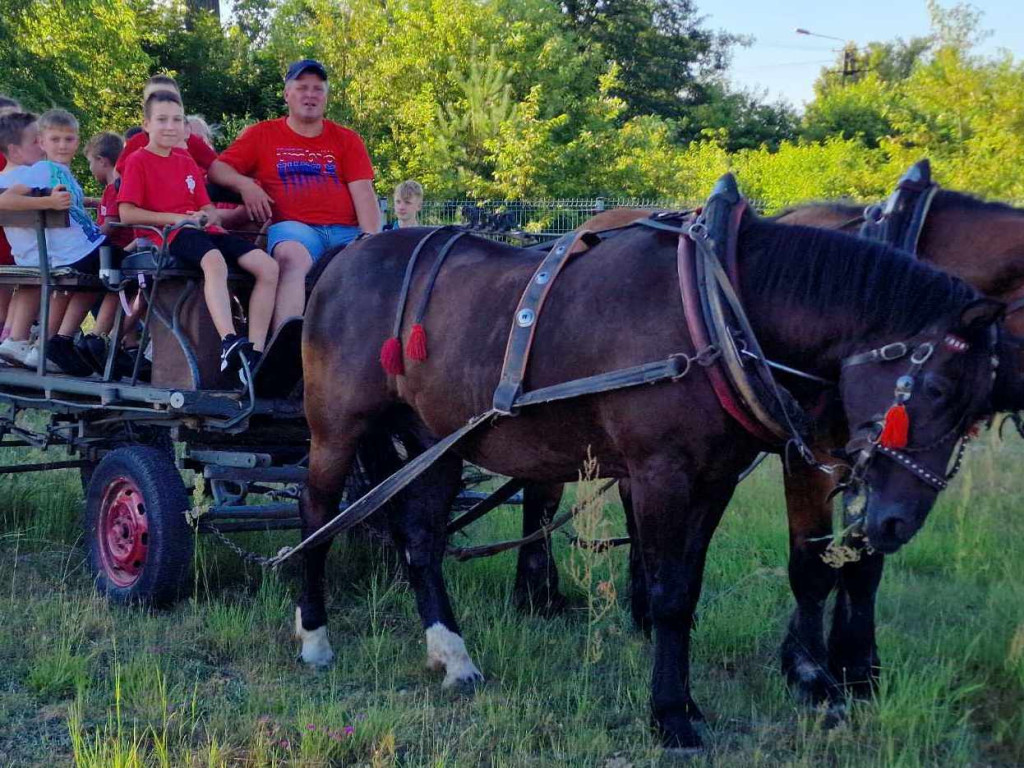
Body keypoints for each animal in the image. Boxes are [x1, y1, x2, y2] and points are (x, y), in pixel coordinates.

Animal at [296, 205, 1007, 753]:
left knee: (421, 541)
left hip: (437, 440)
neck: (717, 310)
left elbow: (688, 589)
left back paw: (453, 654)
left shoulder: (714, 479)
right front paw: (671, 717)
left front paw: (688, 704)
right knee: (316, 519)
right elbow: (666, 595)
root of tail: (347, 254)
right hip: (337, 428)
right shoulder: (661, 473)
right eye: (937, 389)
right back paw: (314, 638)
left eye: (978, 405)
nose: (896, 522)